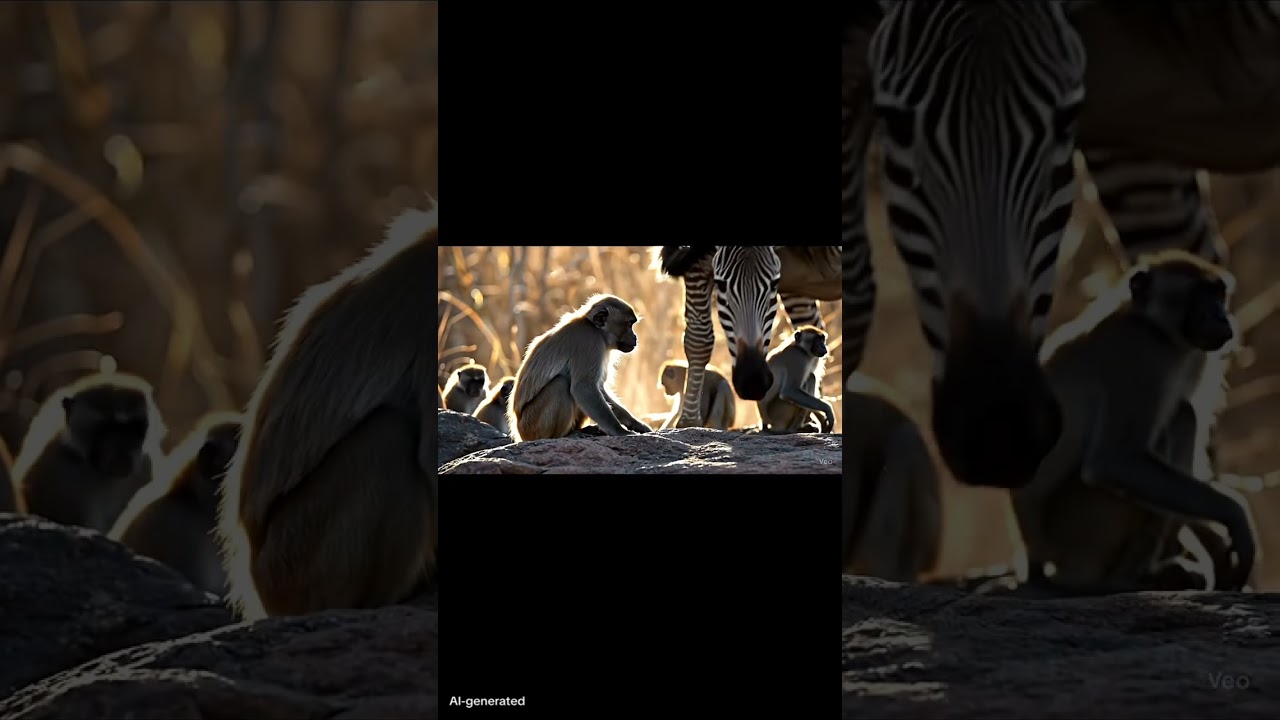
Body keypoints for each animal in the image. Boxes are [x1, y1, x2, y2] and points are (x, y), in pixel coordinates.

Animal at [508, 294, 653, 441]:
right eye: (629, 325)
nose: (635, 337)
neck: (595, 328)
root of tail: (518, 431)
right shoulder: (590, 342)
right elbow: (584, 388)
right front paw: (621, 431)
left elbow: (599, 388)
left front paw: (636, 424)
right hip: (532, 425)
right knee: (561, 383)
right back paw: (564, 435)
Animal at [1011, 250, 1257, 594]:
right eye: (1200, 296)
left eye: (1218, 294)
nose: (1222, 318)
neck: (1151, 323)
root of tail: (1033, 554)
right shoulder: (1142, 352)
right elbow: (1113, 460)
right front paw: (1235, 517)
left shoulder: (1193, 353)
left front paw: (1216, 546)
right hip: (1078, 530)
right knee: (1179, 419)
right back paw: (1124, 580)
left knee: (1181, 415)